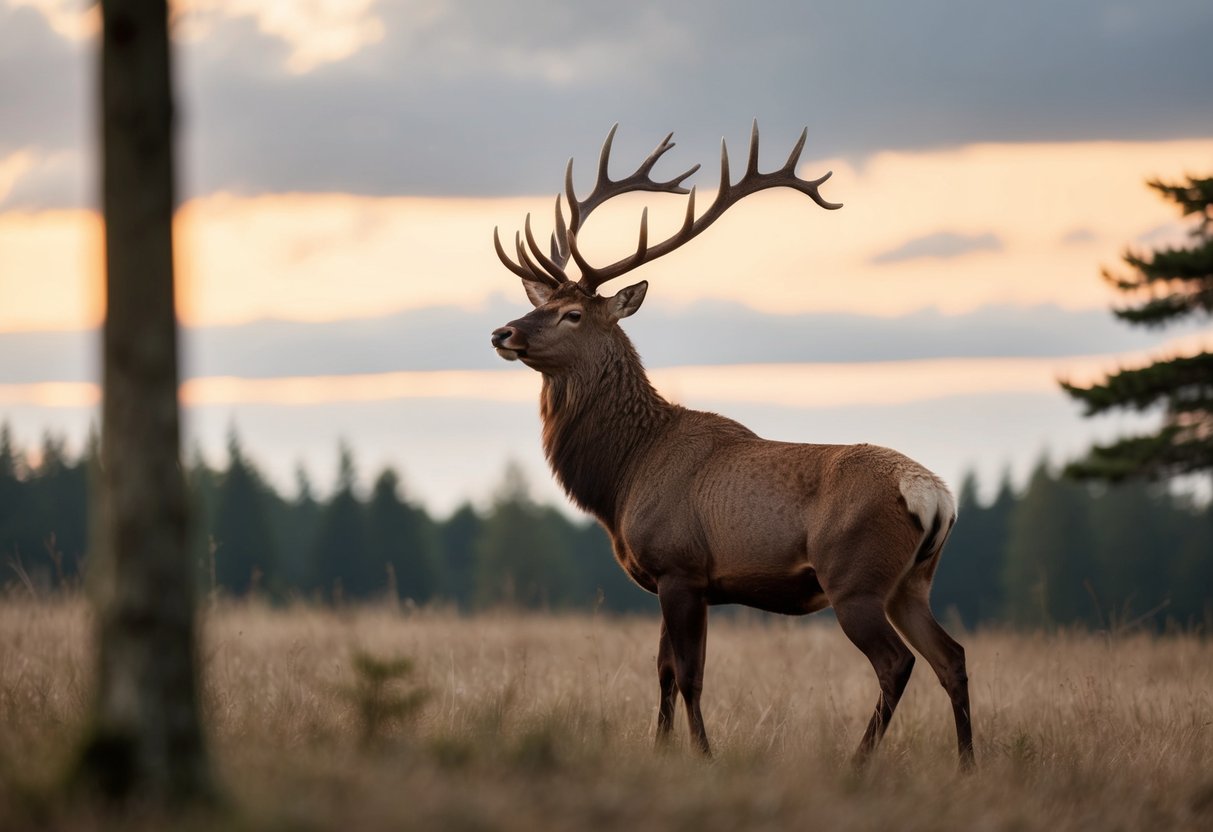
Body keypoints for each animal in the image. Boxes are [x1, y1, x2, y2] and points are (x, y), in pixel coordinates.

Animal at [489, 122, 973, 768]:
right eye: (540, 303)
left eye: (571, 314)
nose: (502, 332)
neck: (624, 478)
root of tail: (934, 495)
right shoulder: (670, 579)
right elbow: (664, 672)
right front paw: (661, 748)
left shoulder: (680, 566)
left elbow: (690, 674)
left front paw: (703, 754)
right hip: (912, 582)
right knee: (953, 657)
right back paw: (968, 765)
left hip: (855, 579)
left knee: (898, 664)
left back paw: (858, 761)